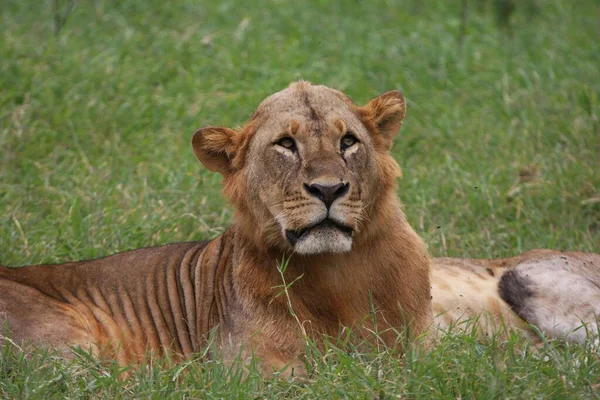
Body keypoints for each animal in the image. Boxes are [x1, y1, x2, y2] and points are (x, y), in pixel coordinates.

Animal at [0, 81, 596, 376]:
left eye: (348, 141)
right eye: (285, 144)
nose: (329, 190)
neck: (341, 274)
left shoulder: (418, 353)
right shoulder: (250, 374)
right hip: (69, 351)